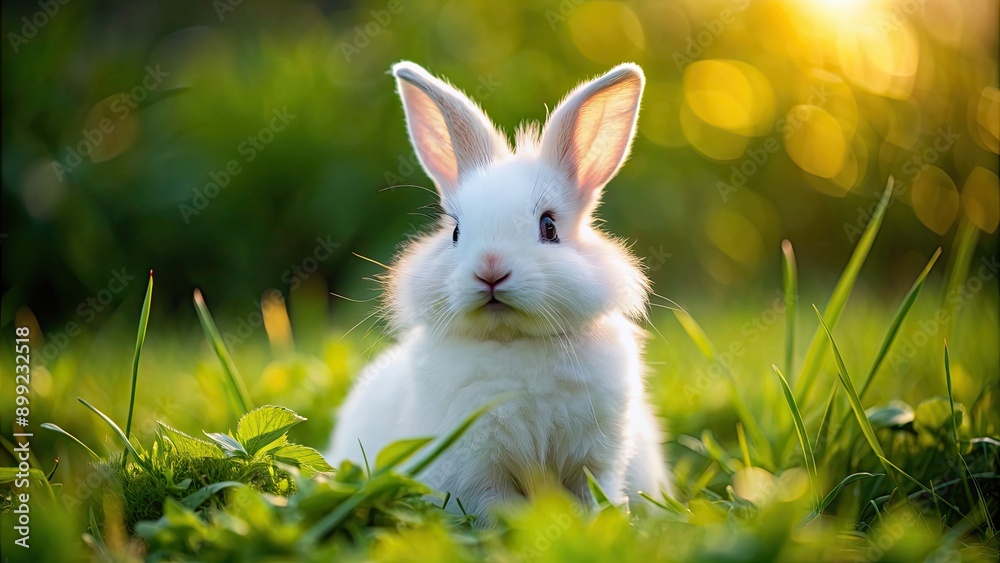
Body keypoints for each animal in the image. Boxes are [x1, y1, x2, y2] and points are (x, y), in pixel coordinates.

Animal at [327, 61, 671, 524]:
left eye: (549, 226)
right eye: (456, 232)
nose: (490, 270)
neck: (513, 339)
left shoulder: (596, 460)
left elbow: (594, 497)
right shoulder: (475, 471)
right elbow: (498, 510)